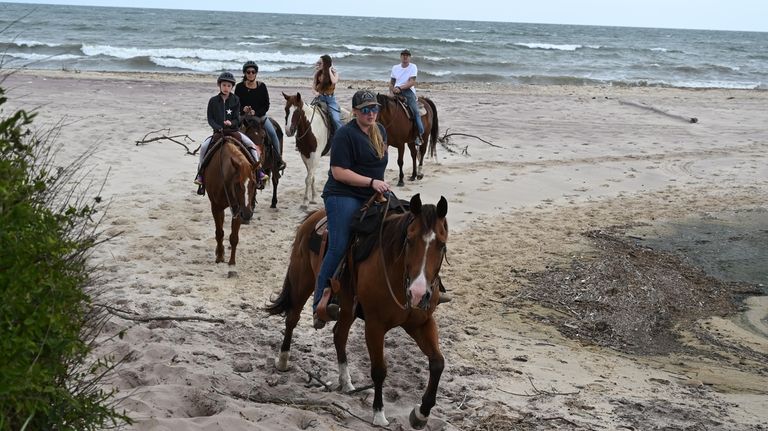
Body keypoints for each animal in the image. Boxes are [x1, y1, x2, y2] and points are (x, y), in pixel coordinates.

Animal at [268, 194, 448, 430]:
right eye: (409, 240)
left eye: (442, 245)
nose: (418, 293)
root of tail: (313, 216)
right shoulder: (374, 325)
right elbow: (379, 370)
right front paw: (379, 414)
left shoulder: (422, 322)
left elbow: (437, 363)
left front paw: (421, 414)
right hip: (302, 281)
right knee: (292, 319)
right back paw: (283, 360)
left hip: (347, 307)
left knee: (339, 334)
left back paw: (346, 382)